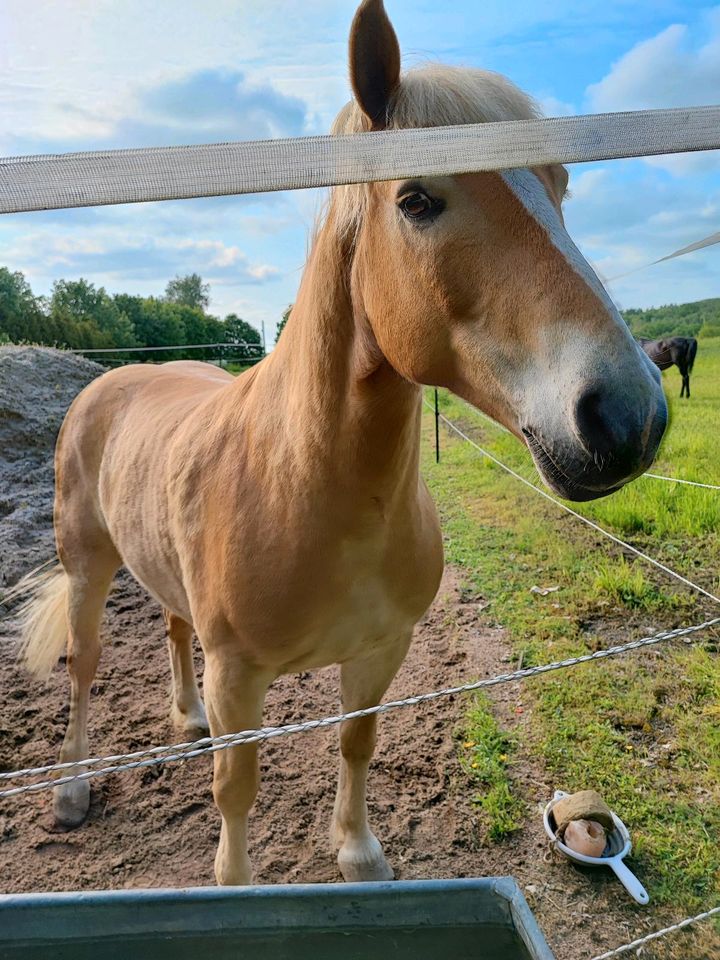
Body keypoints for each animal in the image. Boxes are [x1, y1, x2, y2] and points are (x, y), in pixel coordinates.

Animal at [18, 0, 664, 884]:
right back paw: (73, 789)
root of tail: (109, 385)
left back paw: (182, 716)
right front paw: (235, 883)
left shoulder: (381, 651)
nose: (627, 415)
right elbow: (235, 790)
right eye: (417, 199)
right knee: (84, 672)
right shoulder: (241, 678)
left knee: (173, 629)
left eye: (560, 186)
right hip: (88, 570)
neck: (309, 489)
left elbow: (358, 744)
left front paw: (358, 854)